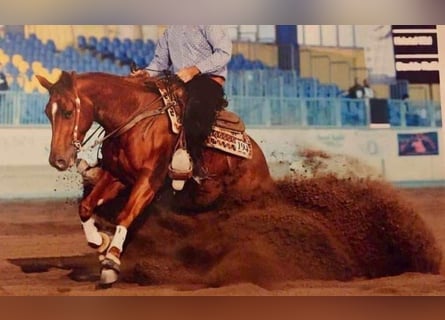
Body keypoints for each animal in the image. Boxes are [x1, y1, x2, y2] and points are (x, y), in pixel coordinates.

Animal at [37, 71, 274, 286]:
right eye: (48, 112)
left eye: (68, 112)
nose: (57, 160)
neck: (132, 118)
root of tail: (258, 159)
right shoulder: (118, 176)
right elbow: (86, 207)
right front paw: (100, 242)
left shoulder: (149, 180)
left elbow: (125, 215)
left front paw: (111, 262)